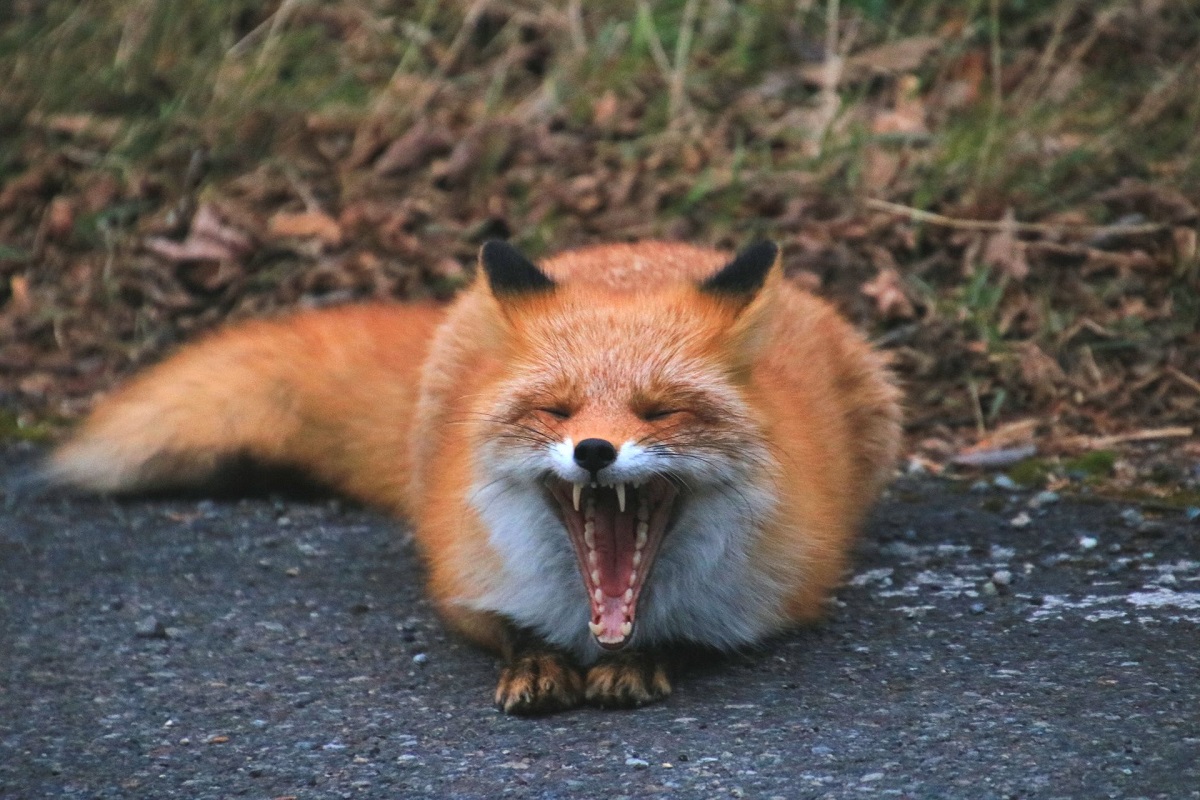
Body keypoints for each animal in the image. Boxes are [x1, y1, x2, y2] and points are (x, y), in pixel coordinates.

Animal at [46, 237, 902, 714]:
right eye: (557, 411)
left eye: (659, 412)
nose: (595, 450)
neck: (593, 620)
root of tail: (642, 243)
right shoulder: (464, 582)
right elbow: (509, 630)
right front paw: (538, 663)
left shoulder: (770, 600)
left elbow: (690, 640)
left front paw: (637, 663)